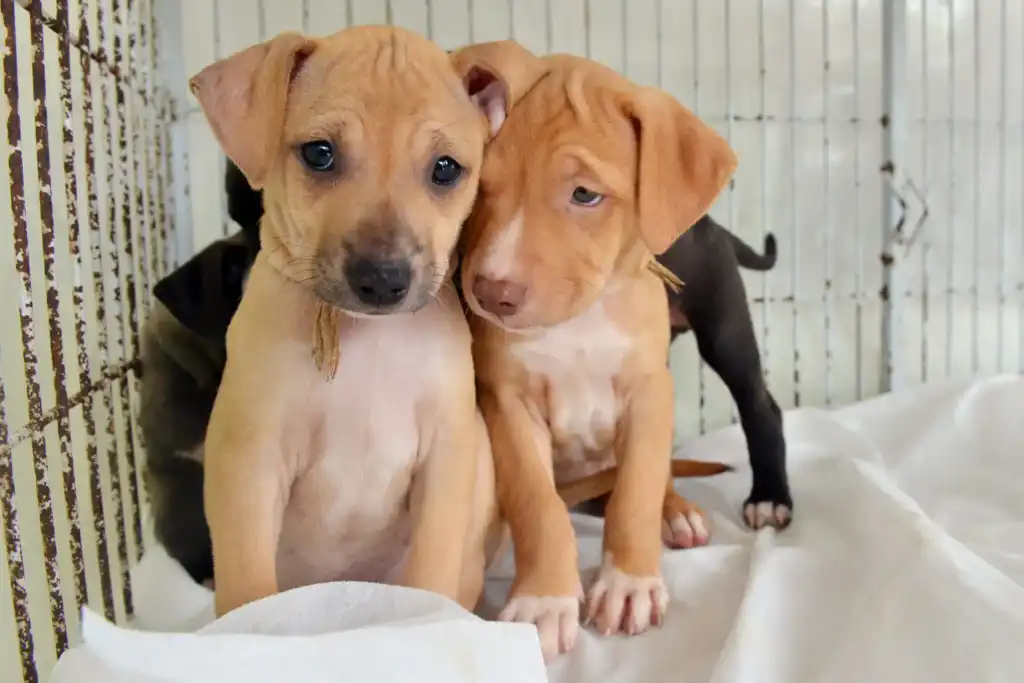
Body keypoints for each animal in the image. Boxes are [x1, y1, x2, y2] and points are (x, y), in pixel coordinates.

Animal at [448, 40, 743, 659]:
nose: (492, 293)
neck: (577, 324)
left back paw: (677, 513)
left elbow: (636, 491)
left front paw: (629, 583)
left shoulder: (650, 394)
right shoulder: (508, 404)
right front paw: (544, 599)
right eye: (481, 187)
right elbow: (539, 507)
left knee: (656, 477)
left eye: (585, 194)